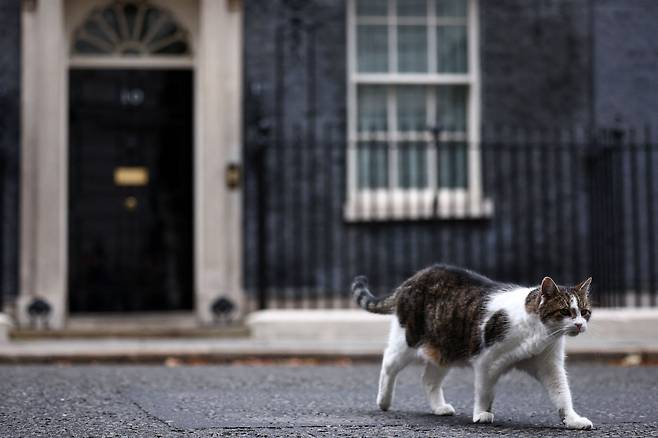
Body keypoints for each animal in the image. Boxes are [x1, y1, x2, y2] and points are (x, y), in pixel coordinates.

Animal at [354, 266, 596, 430]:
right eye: (565, 311)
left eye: (585, 312)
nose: (579, 325)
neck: (539, 333)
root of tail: (415, 277)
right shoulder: (486, 361)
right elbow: (485, 391)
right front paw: (481, 413)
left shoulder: (549, 366)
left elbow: (562, 393)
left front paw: (573, 419)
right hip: (408, 340)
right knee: (388, 363)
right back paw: (384, 400)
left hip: (444, 348)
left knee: (429, 379)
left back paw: (439, 408)